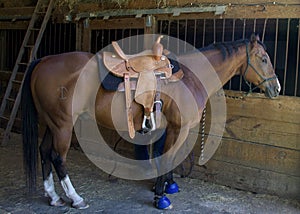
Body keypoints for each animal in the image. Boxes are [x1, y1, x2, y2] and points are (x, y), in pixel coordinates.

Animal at [21, 33, 282, 209]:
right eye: (264, 58)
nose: (277, 88)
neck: (190, 77)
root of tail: (43, 61)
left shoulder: (169, 129)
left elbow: (164, 157)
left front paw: (168, 185)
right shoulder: (179, 129)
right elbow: (168, 158)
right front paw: (161, 196)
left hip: (51, 123)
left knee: (44, 152)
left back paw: (54, 197)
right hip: (63, 125)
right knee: (58, 157)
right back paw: (76, 198)